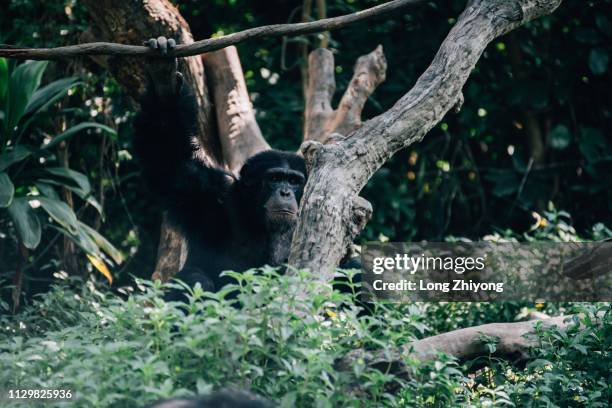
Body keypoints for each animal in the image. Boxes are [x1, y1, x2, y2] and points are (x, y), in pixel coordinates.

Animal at [133, 36, 306, 296]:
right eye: (275, 178)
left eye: (294, 181)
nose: (285, 192)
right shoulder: (205, 192)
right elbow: (167, 154)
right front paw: (163, 79)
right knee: (196, 278)